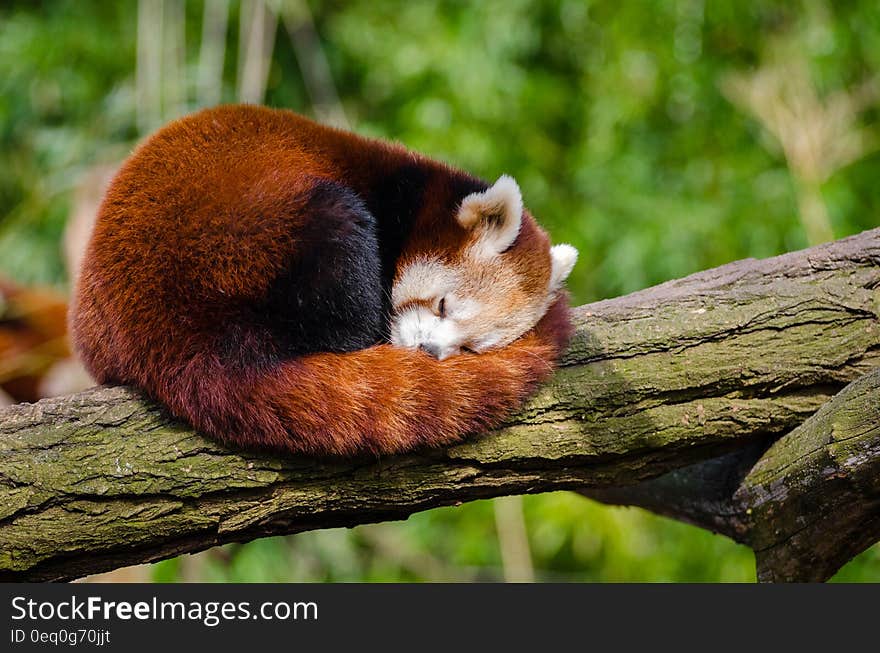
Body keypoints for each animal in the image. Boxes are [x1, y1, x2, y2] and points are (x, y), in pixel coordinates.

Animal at [69, 105, 576, 454]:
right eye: (443, 305)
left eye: (470, 348)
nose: (428, 351)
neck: (417, 199)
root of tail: (174, 338)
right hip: (247, 234)